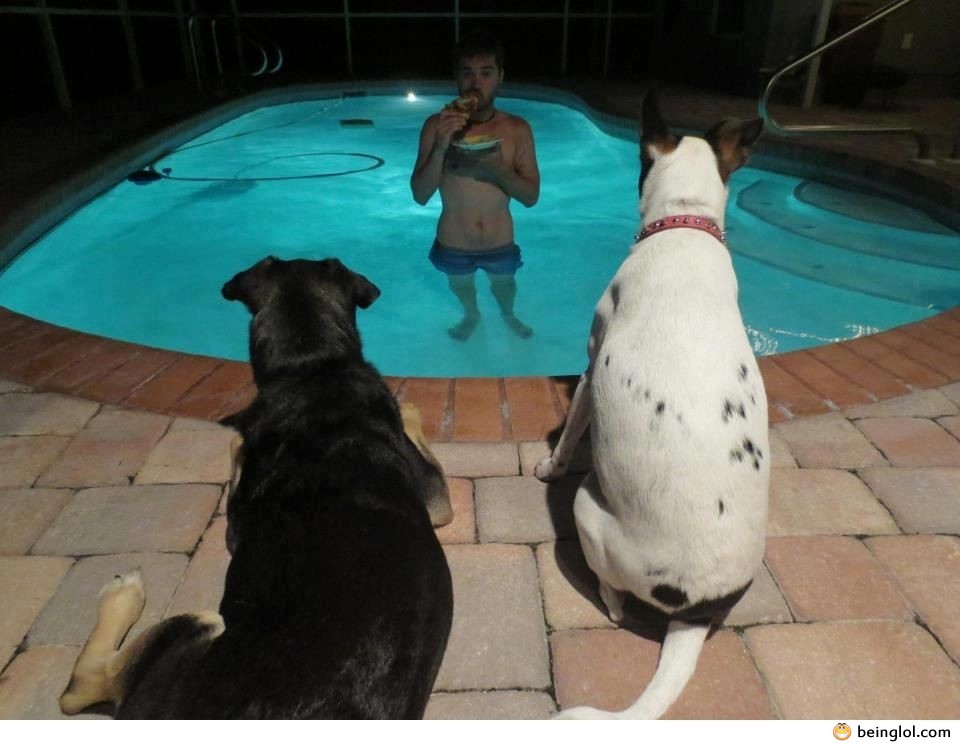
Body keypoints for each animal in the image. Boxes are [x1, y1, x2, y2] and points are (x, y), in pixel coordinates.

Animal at [60, 256, 454, 719]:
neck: (312, 367)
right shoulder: (433, 498)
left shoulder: (236, 527)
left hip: (199, 625)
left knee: (84, 686)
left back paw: (123, 594)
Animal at [535, 90, 768, 719]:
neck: (685, 224)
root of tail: (696, 612)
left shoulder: (590, 368)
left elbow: (570, 433)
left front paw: (549, 462)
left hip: (588, 508)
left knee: (612, 593)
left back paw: (609, 597)